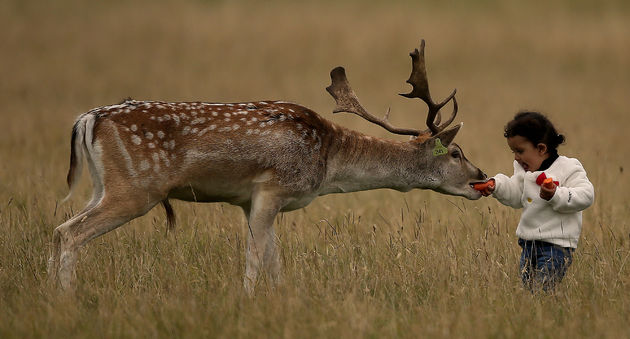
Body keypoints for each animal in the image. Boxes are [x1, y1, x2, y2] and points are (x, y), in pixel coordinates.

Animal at [49, 40, 488, 294]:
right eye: (455, 153)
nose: (482, 177)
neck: (328, 161)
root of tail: (87, 119)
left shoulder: (252, 201)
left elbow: (274, 261)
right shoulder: (271, 190)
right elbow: (256, 259)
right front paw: (247, 300)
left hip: (103, 186)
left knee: (58, 228)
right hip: (136, 189)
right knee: (71, 232)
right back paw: (66, 299)